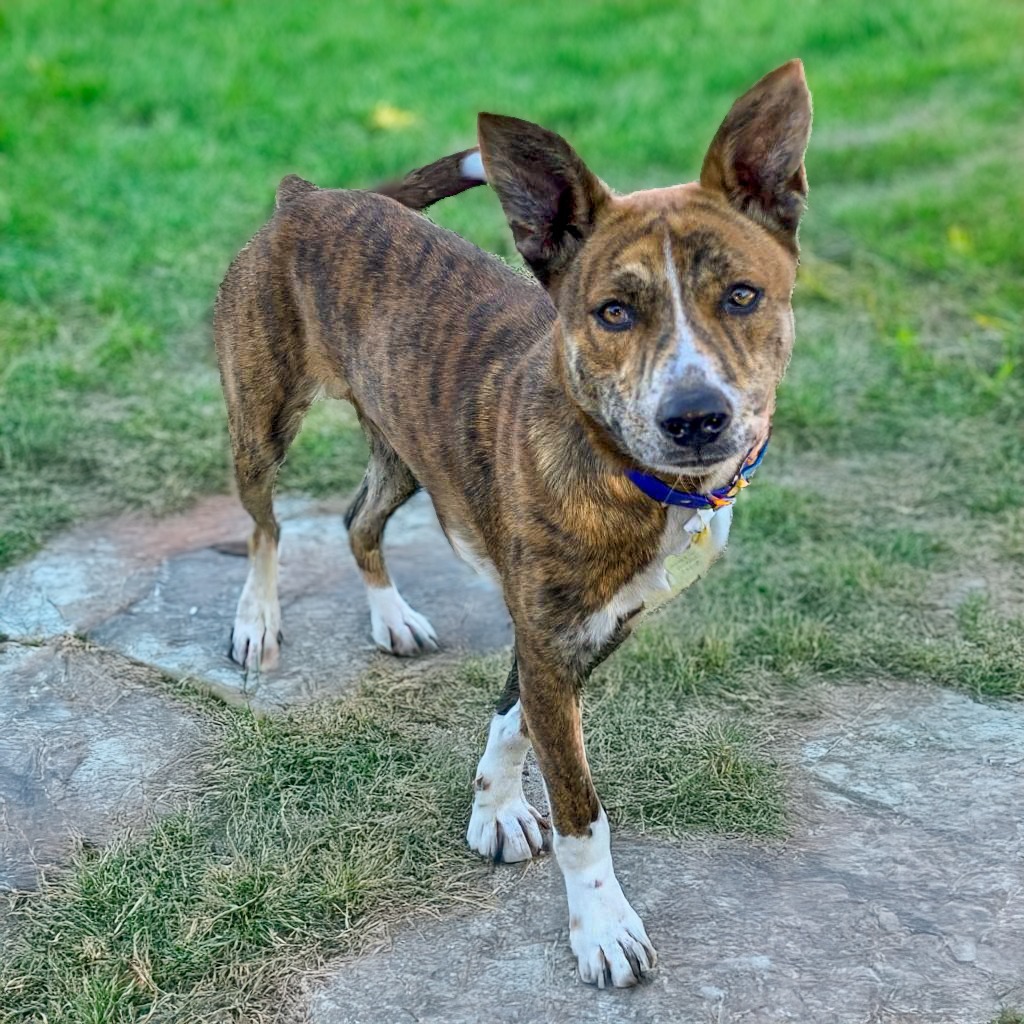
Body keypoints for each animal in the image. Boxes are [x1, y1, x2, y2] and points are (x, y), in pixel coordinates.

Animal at [214, 59, 806, 987]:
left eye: (743, 296)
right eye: (612, 311)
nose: (696, 417)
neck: (623, 466)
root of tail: (306, 197)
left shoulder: (575, 631)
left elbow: (513, 717)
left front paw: (493, 807)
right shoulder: (553, 638)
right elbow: (580, 809)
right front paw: (602, 925)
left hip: (407, 450)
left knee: (357, 520)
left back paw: (391, 616)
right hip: (261, 418)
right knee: (265, 526)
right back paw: (256, 619)